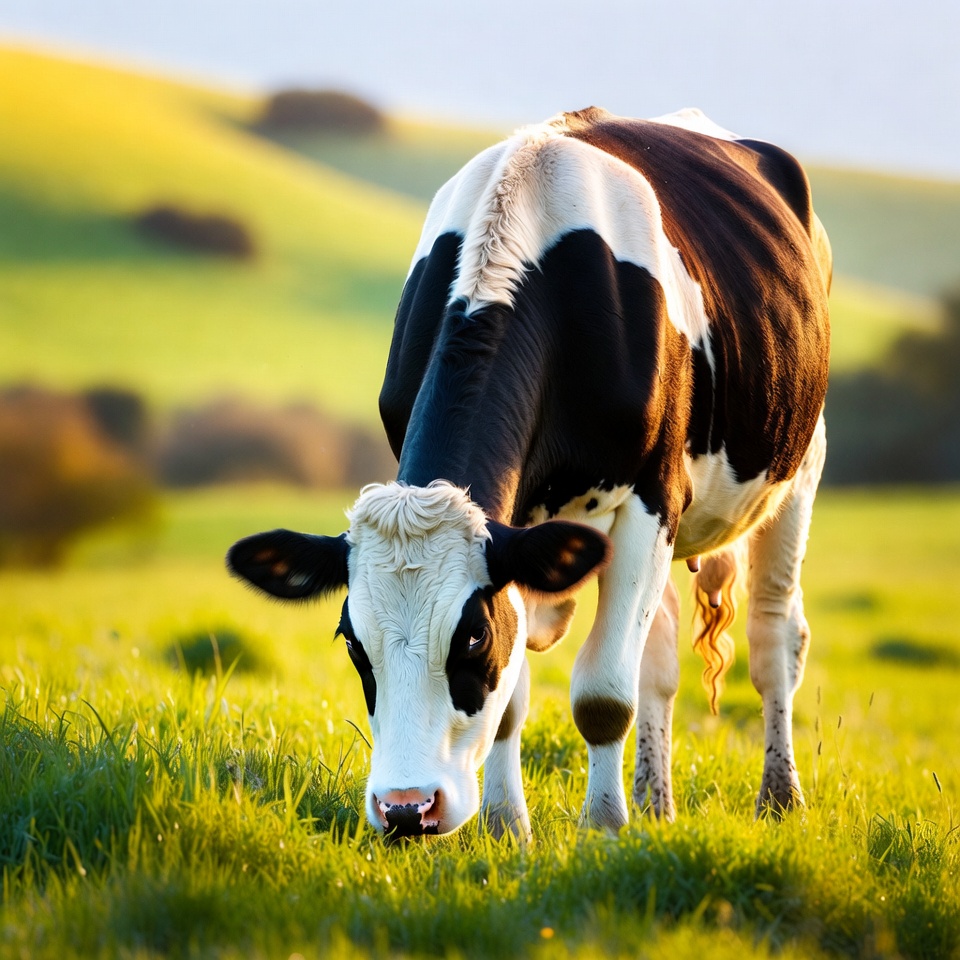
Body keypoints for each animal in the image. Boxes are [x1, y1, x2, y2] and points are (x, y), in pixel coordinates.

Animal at [227, 106, 831, 840]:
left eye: (472, 636)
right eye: (353, 644)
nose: (405, 809)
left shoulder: (651, 498)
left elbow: (603, 693)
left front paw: (603, 828)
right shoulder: (514, 528)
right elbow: (513, 702)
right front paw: (505, 827)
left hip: (798, 467)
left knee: (775, 639)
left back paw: (780, 797)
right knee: (657, 659)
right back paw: (655, 803)